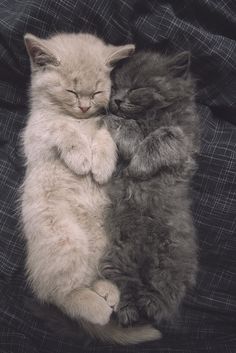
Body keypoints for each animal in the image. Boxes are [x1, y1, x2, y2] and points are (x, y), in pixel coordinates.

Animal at [21, 32, 160, 344]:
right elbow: (60, 127)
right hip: (64, 240)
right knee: (58, 294)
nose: (84, 107)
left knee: (92, 275)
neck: (81, 120)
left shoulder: (108, 125)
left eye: (96, 93)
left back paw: (109, 292)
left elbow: (105, 134)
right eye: (71, 92)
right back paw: (96, 308)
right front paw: (82, 157)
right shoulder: (35, 133)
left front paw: (102, 164)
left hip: (110, 242)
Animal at [101, 51, 199, 326]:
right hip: (116, 258)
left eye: (136, 88)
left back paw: (152, 307)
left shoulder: (183, 139)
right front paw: (134, 154)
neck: (149, 117)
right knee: (125, 287)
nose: (117, 100)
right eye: (115, 86)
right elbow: (126, 127)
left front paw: (139, 166)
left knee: (166, 293)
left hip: (172, 257)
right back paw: (130, 312)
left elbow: (163, 135)